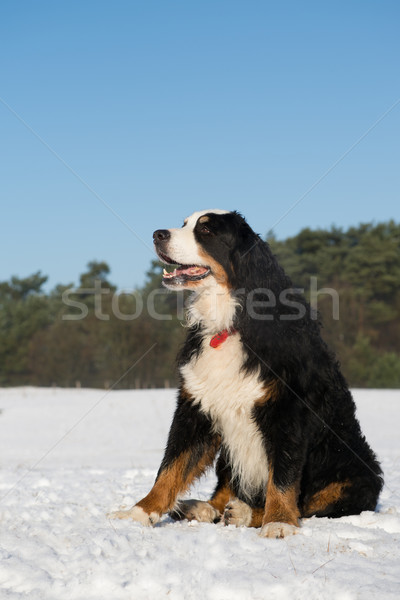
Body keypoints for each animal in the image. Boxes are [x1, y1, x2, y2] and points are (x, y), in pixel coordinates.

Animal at [111, 211, 382, 540]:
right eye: (185, 223)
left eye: (206, 230)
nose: (157, 234)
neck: (228, 323)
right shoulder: (195, 407)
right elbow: (171, 466)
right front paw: (139, 512)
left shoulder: (286, 411)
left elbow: (283, 478)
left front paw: (279, 522)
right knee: (223, 492)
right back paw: (198, 508)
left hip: (358, 475)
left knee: (308, 505)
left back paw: (243, 513)